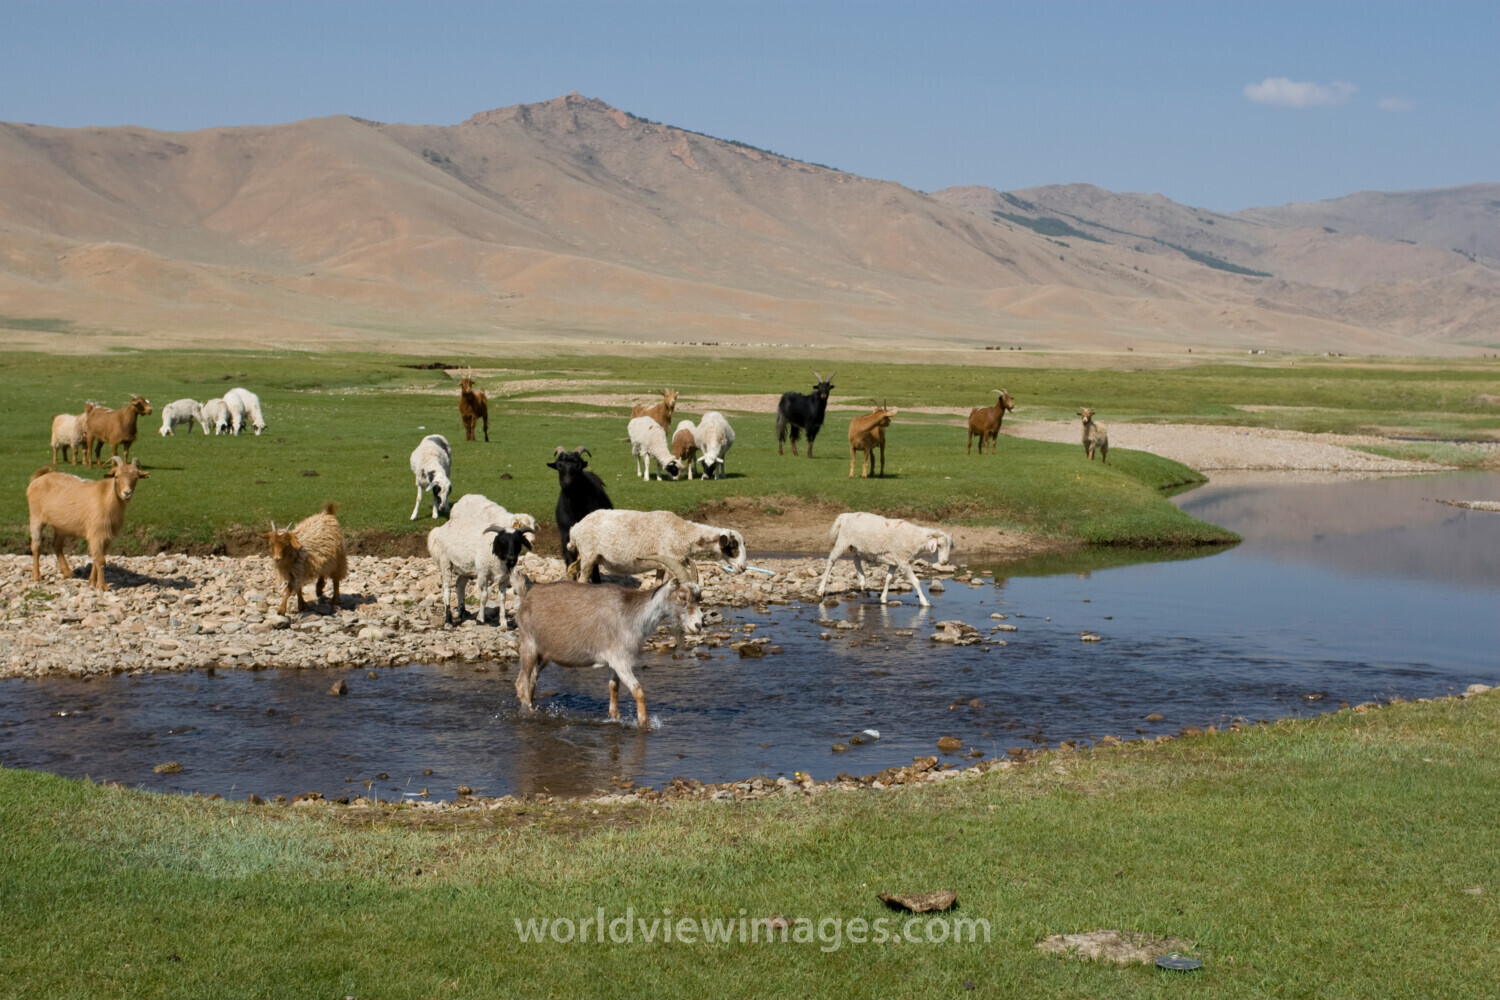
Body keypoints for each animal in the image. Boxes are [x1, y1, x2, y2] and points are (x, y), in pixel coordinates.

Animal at [26, 457, 150, 591]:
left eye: (136, 477)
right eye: (116, 476)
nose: (127, 493)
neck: (106, 499)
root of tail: (38, 478)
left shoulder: (108, 537)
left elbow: (98, 558)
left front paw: (92, 582)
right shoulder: (96, 533)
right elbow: (100, 560)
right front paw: (102, 586)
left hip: (61, 527)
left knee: (56, 545)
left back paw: (68, 573)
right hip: (36, 518)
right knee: (37, 546)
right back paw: (36, 576)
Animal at [513, 576, 703, 727]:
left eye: (699, 598)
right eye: (682, 597)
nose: (698, 625)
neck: (633, 614)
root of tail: (526, 598)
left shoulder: (614, 660)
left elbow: (613, 687)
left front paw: (614, 715)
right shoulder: (621, 660)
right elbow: (638, 691)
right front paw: (644, 723)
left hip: (543, 655)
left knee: (532, 682)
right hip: (529, 644)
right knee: (521, 684)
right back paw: (531, 714)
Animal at [566, 509, 747, 591]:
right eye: (732, 545)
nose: (743, 568)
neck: (685, 533)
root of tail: (575, 528)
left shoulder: (663, 564)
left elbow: (657, 583)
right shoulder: (672, 562)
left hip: (587, 554)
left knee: (572, 569)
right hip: (588, 554)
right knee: (582, 578)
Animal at [817, 512, 954, 607]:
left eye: (950, 546)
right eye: (939, 545)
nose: (944, 562)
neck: (913, 538)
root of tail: (845, 516)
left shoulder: (895, 561)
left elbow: (888, 579)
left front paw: (883, 598)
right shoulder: (902, 561)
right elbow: (916, 581)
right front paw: (924, 602)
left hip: (862, 548)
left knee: (856, 559)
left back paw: (862, 580)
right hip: (843, 541)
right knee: (831, 561)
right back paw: (821, 590)